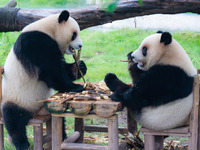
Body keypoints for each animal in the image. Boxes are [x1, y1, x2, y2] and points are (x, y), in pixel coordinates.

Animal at [1, 9, 86, 149]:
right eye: (74, 34)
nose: (80, 45)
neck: (49, 29)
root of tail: (35, 113)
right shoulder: (36, 42)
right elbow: (51, 70)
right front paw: (75, 87)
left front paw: (79, 67)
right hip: (16, 98)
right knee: (13, 117)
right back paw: (22, 143)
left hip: (48, 107)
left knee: (59, 120)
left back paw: (63, 136)